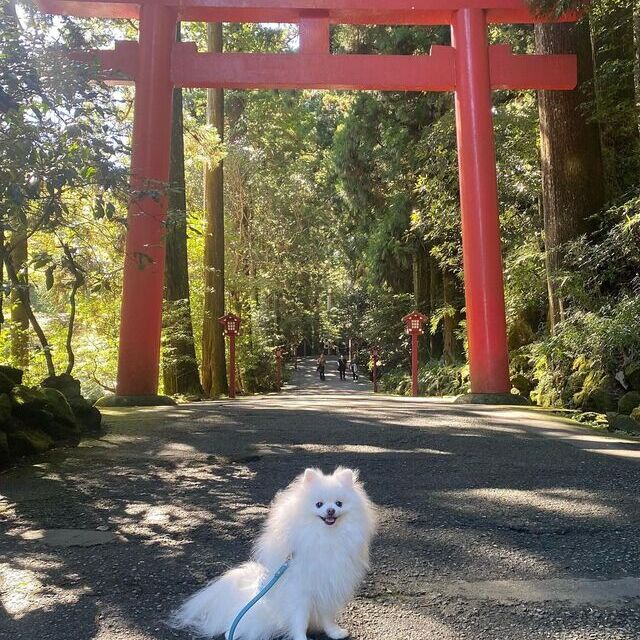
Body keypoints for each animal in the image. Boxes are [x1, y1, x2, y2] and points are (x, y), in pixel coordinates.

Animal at [172, 464, 378, 640]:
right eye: (319, 504)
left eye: (339, 503)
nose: (330, 511)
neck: (326, 537)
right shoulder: (301, 592)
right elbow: (300, 620)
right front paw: (301, 638)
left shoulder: (329, 587)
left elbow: (327, 617)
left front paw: (334, 632)